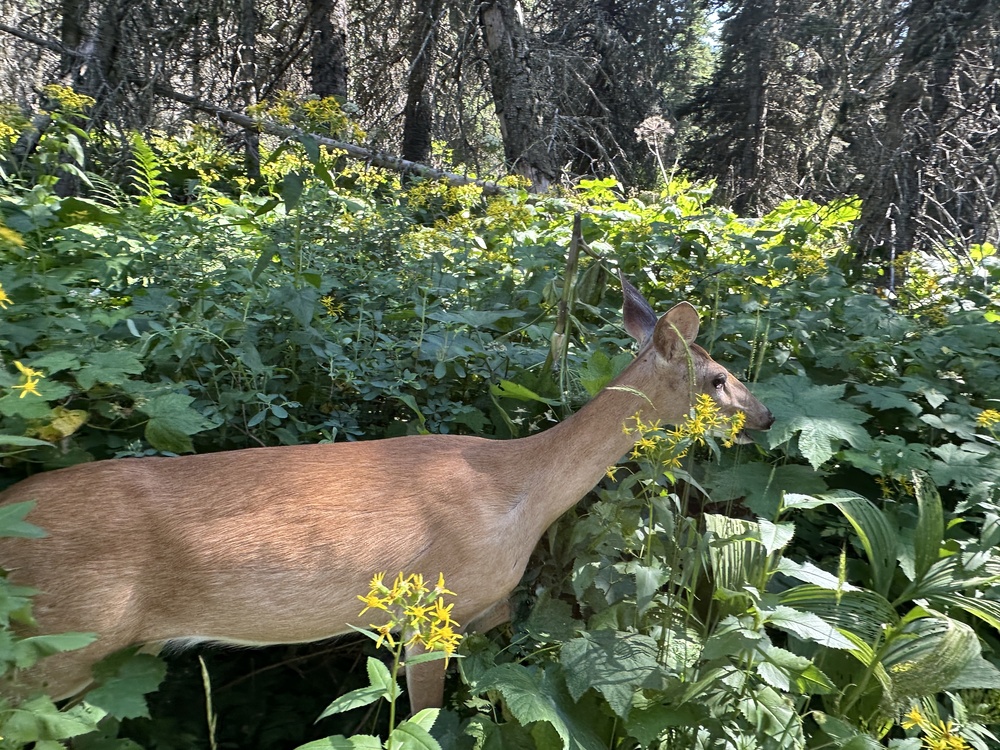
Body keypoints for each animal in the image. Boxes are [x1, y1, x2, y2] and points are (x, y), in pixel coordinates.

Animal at [0, 275, 773, 712]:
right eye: (717, 379)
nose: (764, 416)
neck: (519, 494)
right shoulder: (433, 607)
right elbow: (424, 720)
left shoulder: (459, 613)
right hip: (58, 640)